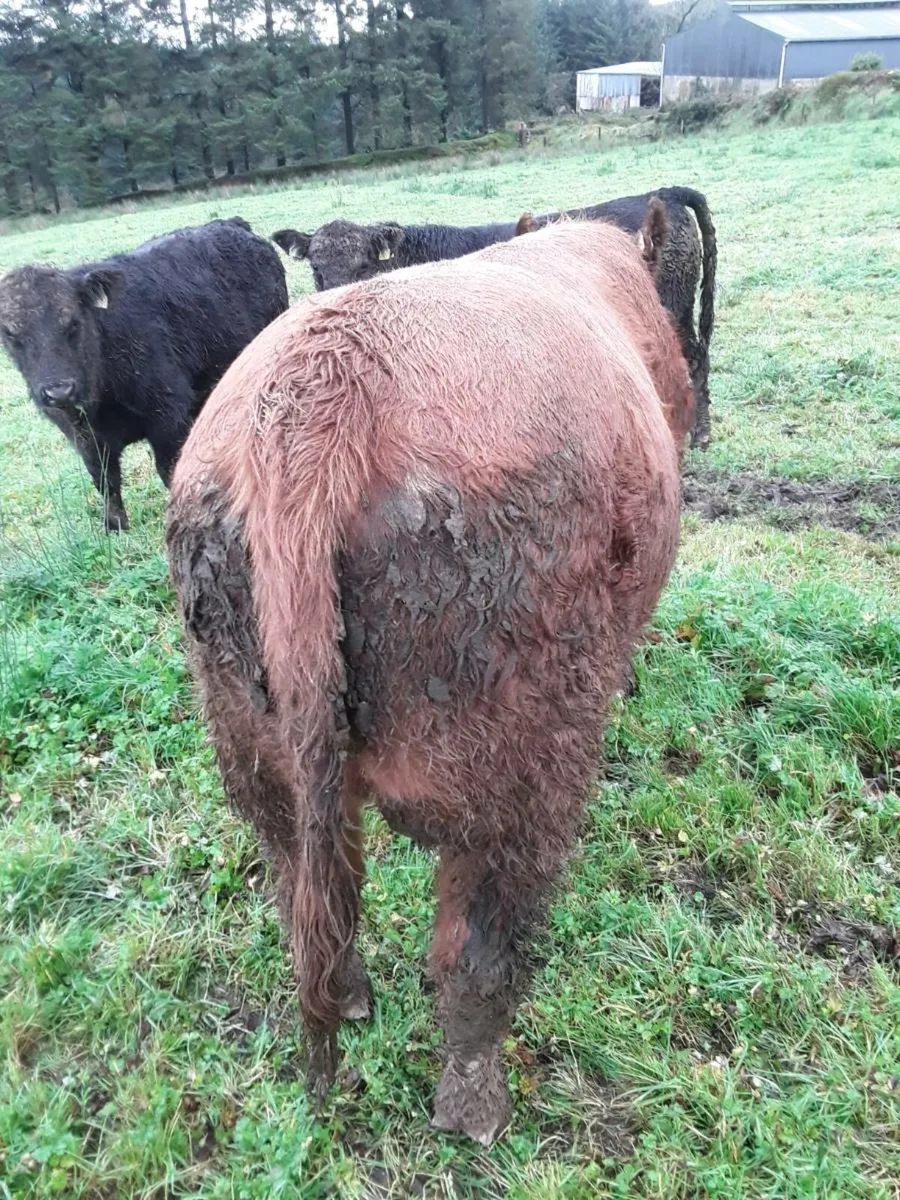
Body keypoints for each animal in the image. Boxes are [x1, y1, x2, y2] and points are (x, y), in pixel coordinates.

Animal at [0, 217, 288, 532]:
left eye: (73, 322)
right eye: (10, 334)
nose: (59, 391)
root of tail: (231, 224)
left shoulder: (167, 417)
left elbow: (168, 470)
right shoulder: (84, 437)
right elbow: (105, 480)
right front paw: (115, 526)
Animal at [167, 211, 693, 1146]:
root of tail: (319, 390)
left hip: (250, 744)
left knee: (300, 891)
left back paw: (352, 999)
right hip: (521, 772)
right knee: (477, 950)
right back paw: (476, 1105)